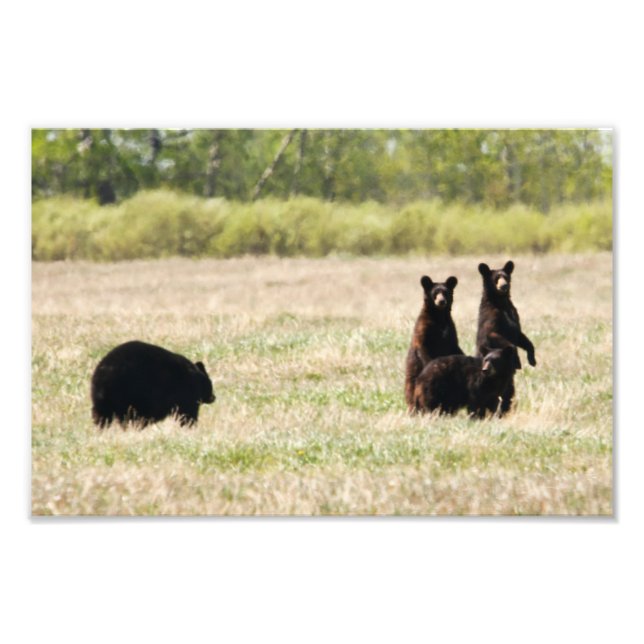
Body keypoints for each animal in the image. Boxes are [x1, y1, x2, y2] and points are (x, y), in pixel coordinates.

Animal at [404, 275, 464, 410]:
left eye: (446, 292)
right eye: (435, 292)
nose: (441, 301)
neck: (439, 316)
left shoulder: (450, 331)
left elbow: (454, 348)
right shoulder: (424, 328)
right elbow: (423, 348)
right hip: (412, 377)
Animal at [476, 260, 536, 415]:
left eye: (506, 277)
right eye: (496, 278)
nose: (504, 286)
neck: (501, 302)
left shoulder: (513, 314)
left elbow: (521, 336)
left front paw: (532, 359)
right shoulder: (492, 316)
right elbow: (494, 333)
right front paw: (517, 360)